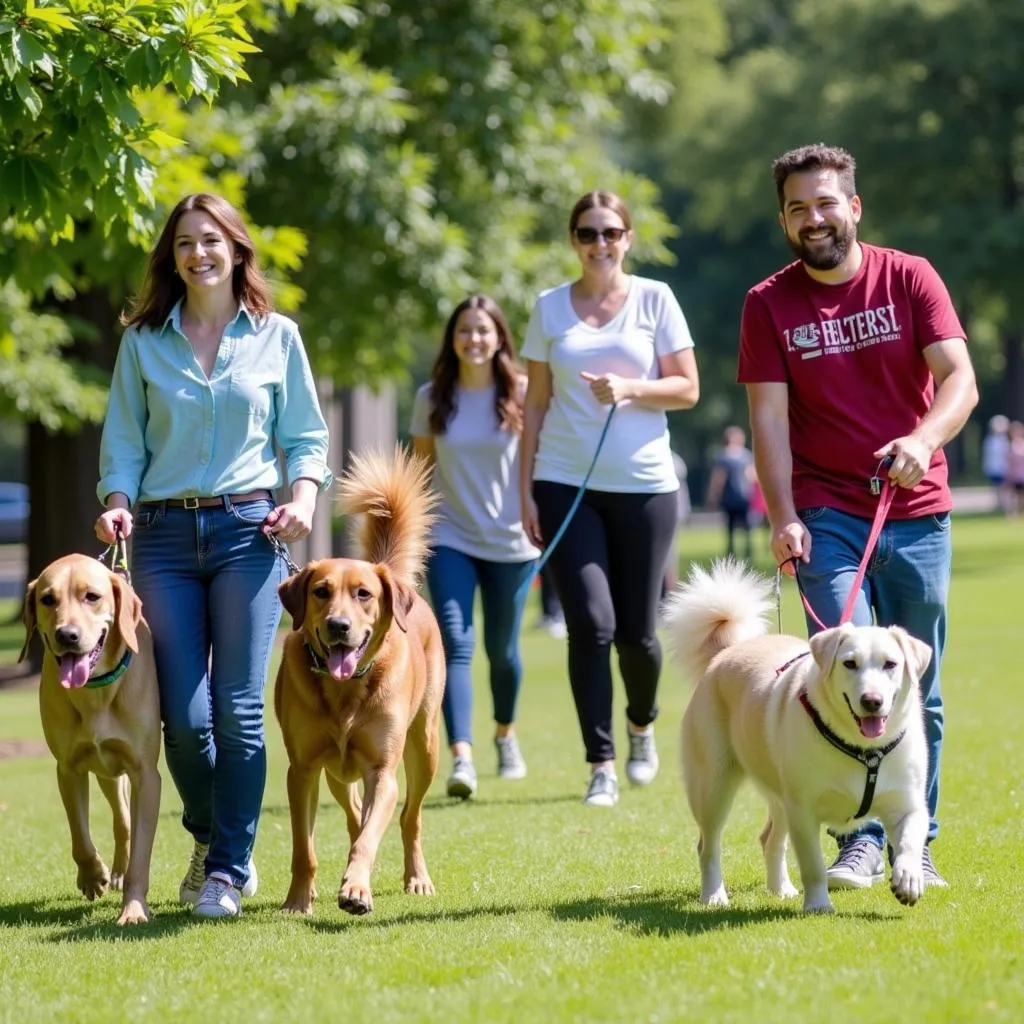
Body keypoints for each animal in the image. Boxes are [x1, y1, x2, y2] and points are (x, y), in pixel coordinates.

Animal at [20, 557, 160, 925]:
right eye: (48, 599)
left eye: (92, 597)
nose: (67, 635)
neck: (95, 691)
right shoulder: (68, 768)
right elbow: (80, 836)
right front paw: (93, 876)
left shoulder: (146, 774)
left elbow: (142, 852)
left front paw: (134, 909)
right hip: (107, 772)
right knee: (122, 820)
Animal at [272, 448, 444, 921]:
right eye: (321, 591)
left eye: (363, 594)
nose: (338, 626)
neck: (345, 693)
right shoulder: (303, 769)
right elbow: (304, 847)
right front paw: (299, 899)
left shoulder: (382, 770)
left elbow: (370, 835)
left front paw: (356, 891)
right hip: (336, 770)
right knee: (352, 816)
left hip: (424, 745)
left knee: (408, 818)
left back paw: (416, 877)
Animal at [659, 561, 933, 913]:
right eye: (850, 663)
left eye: (890, 664)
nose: (872, 701)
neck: (864, 750)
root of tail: (726, 652)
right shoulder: (803, 809)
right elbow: (813, 864)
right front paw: (818, 905)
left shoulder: (907, 802)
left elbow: (911, 837)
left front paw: (909, 879)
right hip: (714, 785)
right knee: (707, 845)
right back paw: (714, 895)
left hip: (778, 792)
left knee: (769, 839)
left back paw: (782, 890)